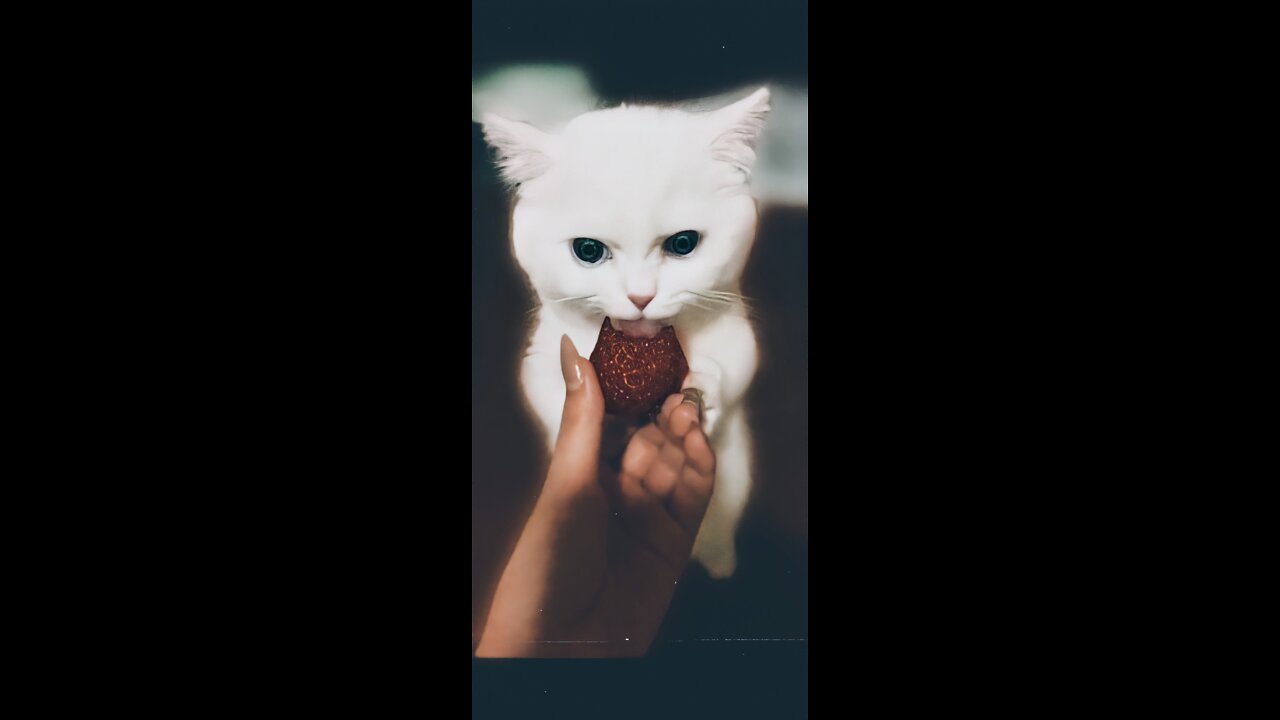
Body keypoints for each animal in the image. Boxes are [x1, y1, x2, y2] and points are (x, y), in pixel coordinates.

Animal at [478, 87, 757, 576]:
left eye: (683, 244)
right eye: (588, 251)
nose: (640, 296)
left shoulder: (737, 330)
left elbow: (733, 368)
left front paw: (701, 395)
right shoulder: (544, 352)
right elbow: (548, 396)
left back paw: (719, 562)